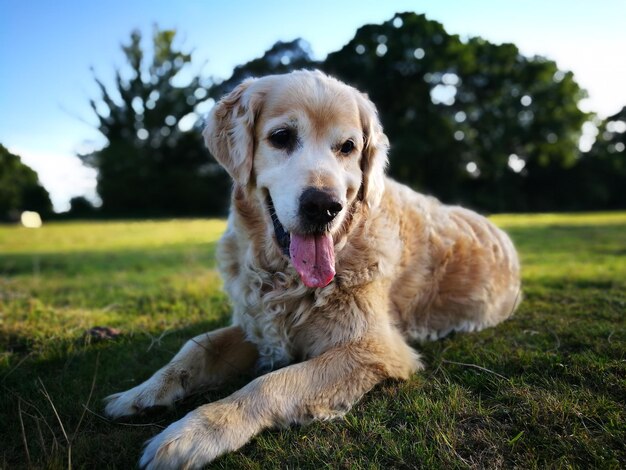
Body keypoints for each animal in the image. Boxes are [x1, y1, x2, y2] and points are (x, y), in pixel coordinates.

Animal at [103, 69, 520, 466]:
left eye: (348, 147)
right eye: (281, 137)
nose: (324, 207)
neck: (285, 277)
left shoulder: (372, 347)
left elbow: (270, 383)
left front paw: (196, 433)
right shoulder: (260, 326)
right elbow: (196, 347)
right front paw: (141, 392)